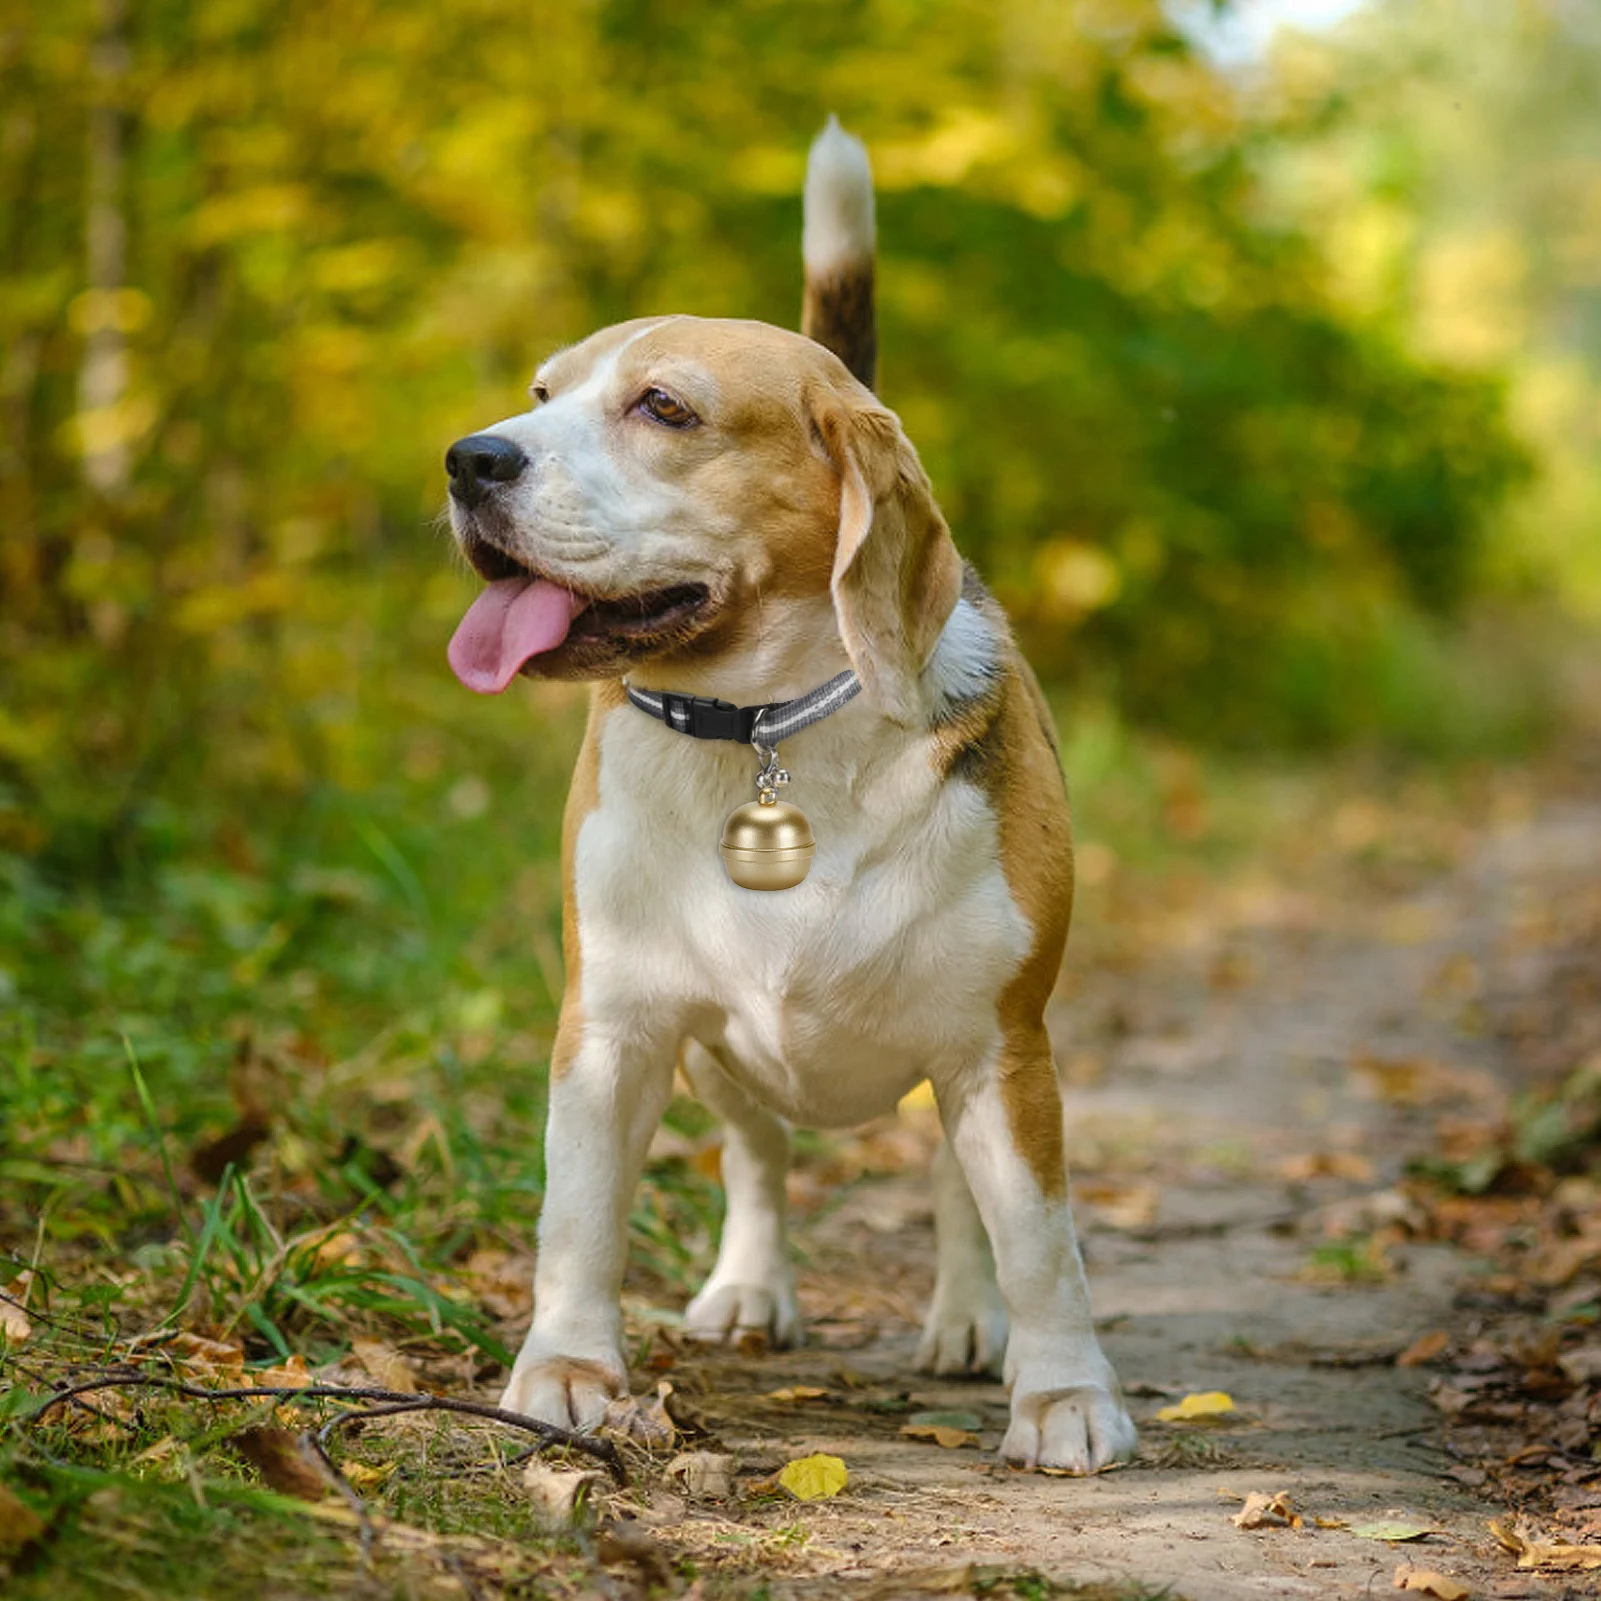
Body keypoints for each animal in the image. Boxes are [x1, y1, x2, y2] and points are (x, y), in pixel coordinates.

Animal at [441, 121, 1139, 1472]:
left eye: (662, 406)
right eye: (542, 395)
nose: (466, 459)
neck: (763, 730)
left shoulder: (998, 1044)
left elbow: (1039, 1239)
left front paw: (1066, 1394)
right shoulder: (608, 1028)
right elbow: (577, 1218)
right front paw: (563, 1371)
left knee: (955, 1197)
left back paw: (967, 1320)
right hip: (717, 1052)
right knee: (759, 1158)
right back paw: (751, 1288)